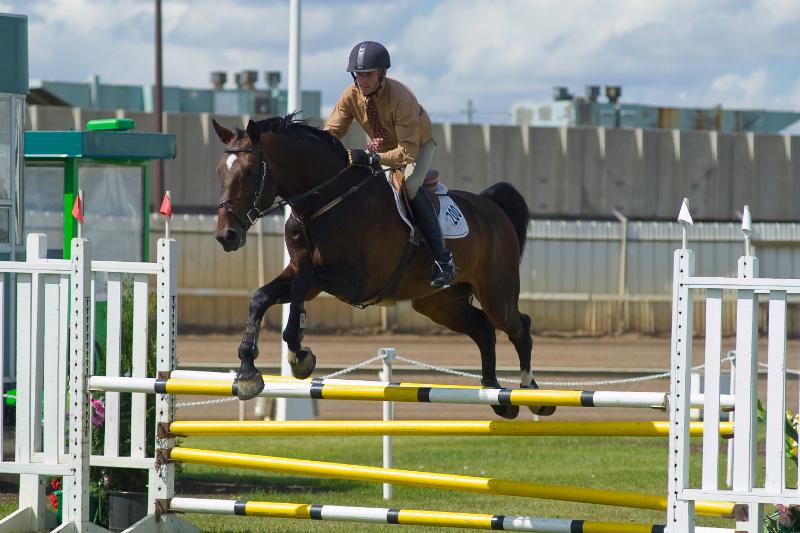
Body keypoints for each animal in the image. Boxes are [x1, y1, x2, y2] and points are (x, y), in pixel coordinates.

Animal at [209, 113, 552, 420]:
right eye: (219, 172)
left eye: (250, 171)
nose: (226, 236)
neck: (324, 202)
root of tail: (491, 206)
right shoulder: (303, 270)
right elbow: (262, 297)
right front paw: (248, 374)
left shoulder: (354, 280)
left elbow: (300, 285)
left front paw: (299, 355)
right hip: (440, 304)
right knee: (483, 329)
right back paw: (496, 394)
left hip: (497, 293)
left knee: (519, 327)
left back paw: (532, 394)